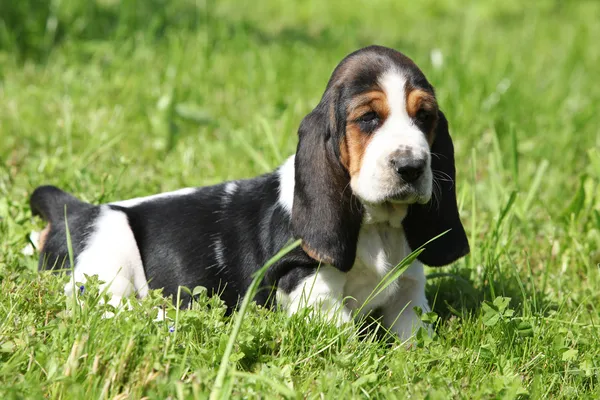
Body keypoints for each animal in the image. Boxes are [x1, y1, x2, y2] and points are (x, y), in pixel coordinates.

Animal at [30, 45, 472, 340]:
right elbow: (349, 335)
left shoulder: (409, 290)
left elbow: (415, 333)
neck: (376, 226)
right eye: (368, 118)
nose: (411, 166)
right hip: (110, 258)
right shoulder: (309, 290)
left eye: (425, 116)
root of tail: (75, 209)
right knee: (109, 309)